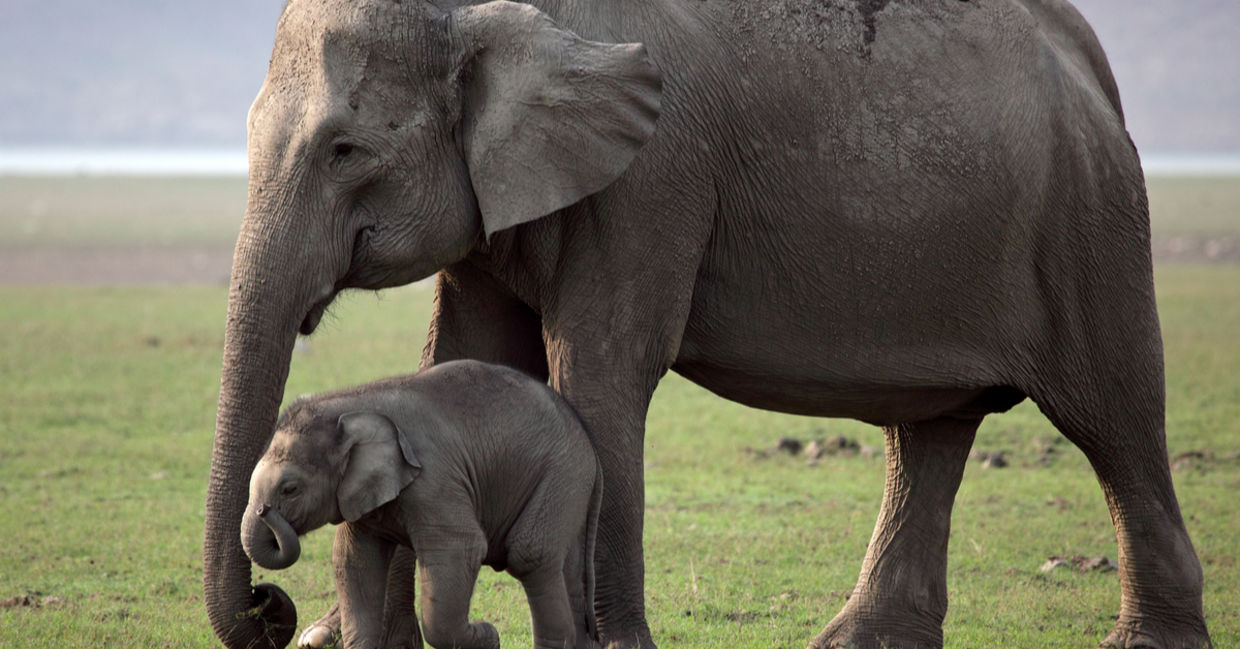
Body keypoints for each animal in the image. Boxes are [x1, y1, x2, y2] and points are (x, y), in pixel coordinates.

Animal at [241, 360, 602, 649]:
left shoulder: (435, 479)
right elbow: (354, 559)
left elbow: (462, 547)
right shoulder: (361, 493)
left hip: (562, 473)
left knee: (530, 555)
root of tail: (589, 444)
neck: (352, 403)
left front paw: (489, 635)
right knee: (563, 567)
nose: (263, 510)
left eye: (290, 489)